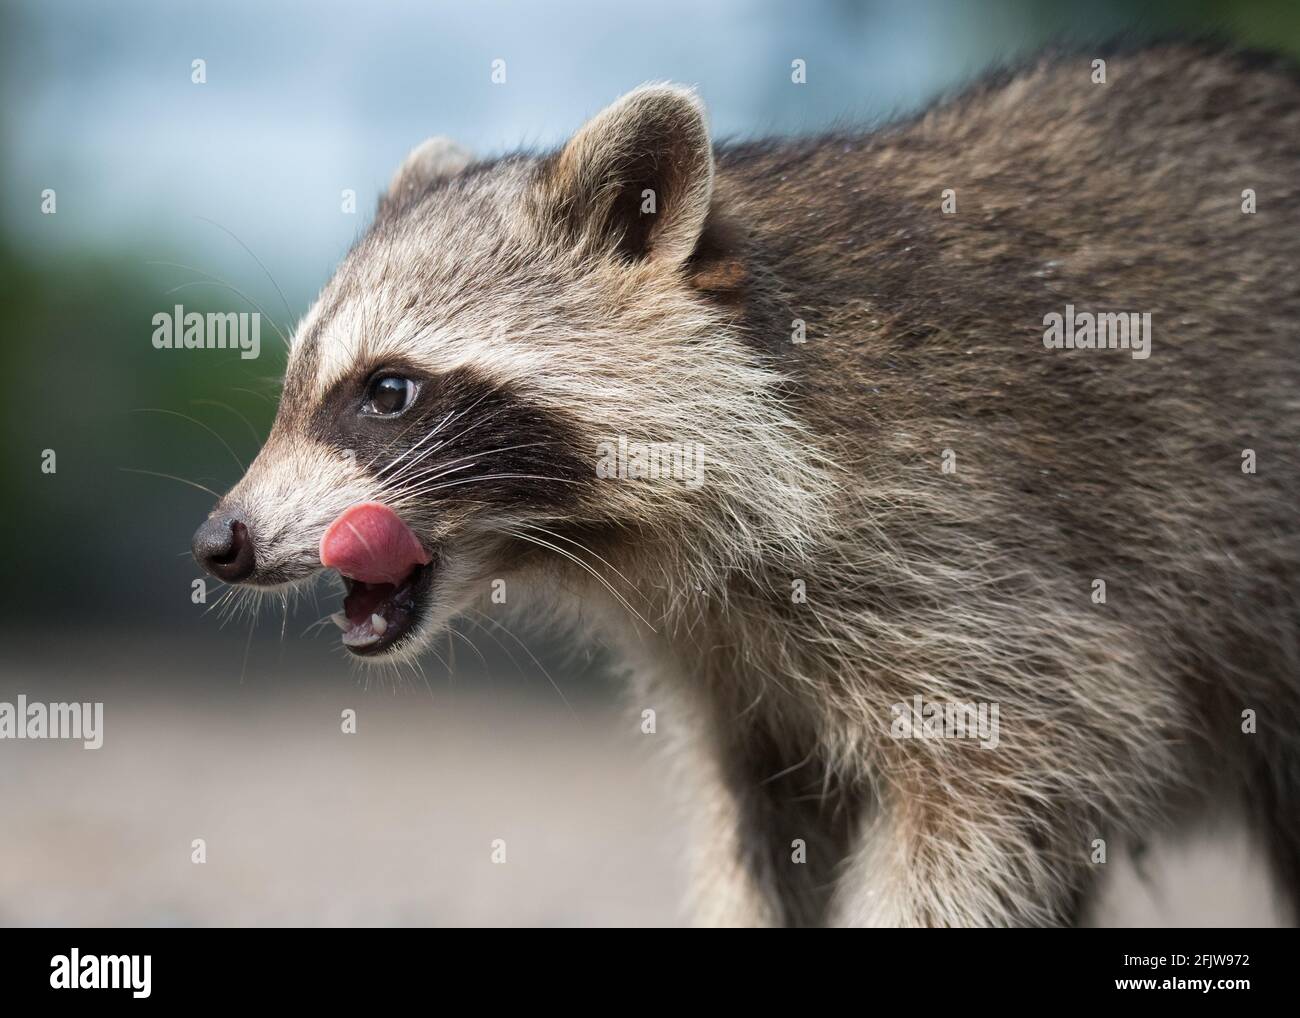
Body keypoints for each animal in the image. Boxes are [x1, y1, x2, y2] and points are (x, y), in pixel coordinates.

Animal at [189, 43, 1300, 925]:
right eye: (293, 390)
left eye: (387, 392)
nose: (220, 541)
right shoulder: (735, 675)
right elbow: (771, 832)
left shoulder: (969, 546)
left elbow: (1019, 768)